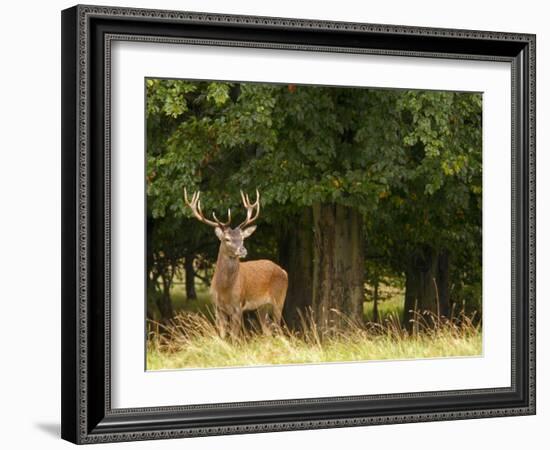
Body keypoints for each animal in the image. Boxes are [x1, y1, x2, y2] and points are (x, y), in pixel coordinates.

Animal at [184, 187, 288, 338]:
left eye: (242, 238)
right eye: (227, 239)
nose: (243, 249)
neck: (224, 289)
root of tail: (283, 271)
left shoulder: (238, 306)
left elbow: (234, 337)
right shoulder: (217, 308)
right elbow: (222, 336)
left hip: (279, 299)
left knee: (279, 330)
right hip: (261, 306)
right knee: (267, 331)